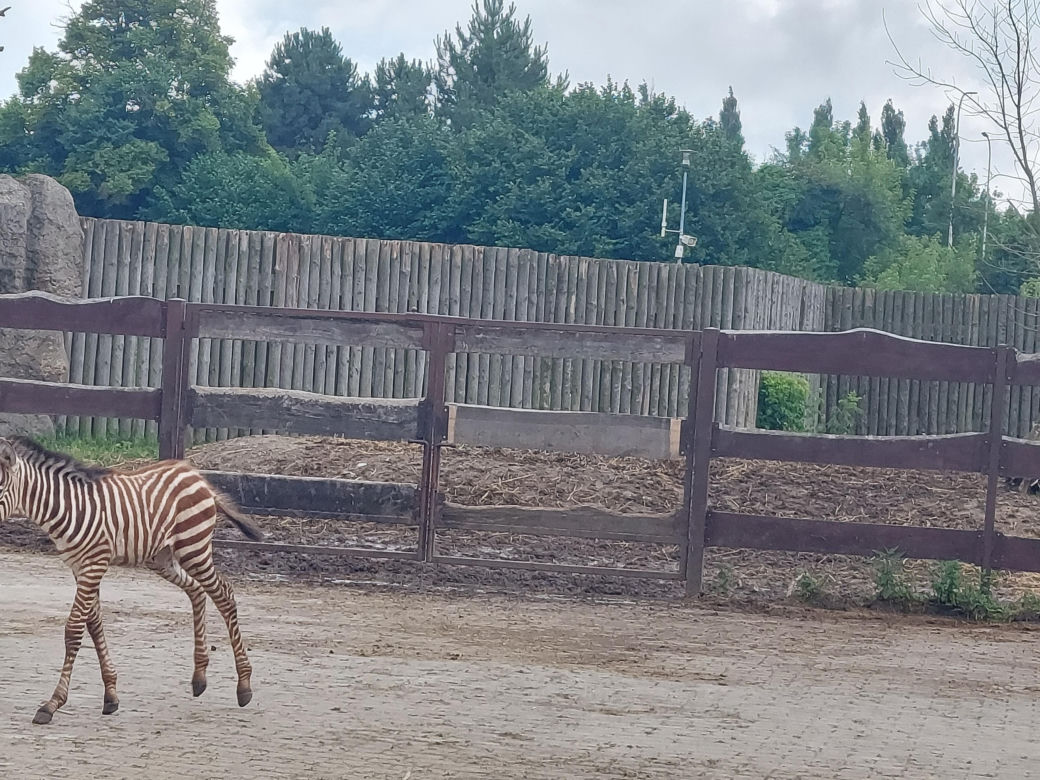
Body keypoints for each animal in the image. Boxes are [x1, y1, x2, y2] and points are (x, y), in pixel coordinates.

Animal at [0, 436, 262, 725]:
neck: (67, 508)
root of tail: (197, 476)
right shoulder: (80, 568)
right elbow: (95, 625)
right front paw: (111, 696)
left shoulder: (94, 565)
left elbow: (74, 630)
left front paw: (52, 704)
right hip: (162, 558)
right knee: (196, 591)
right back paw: (199, 677)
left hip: (194, 549)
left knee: (224, 594)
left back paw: (244, 686)